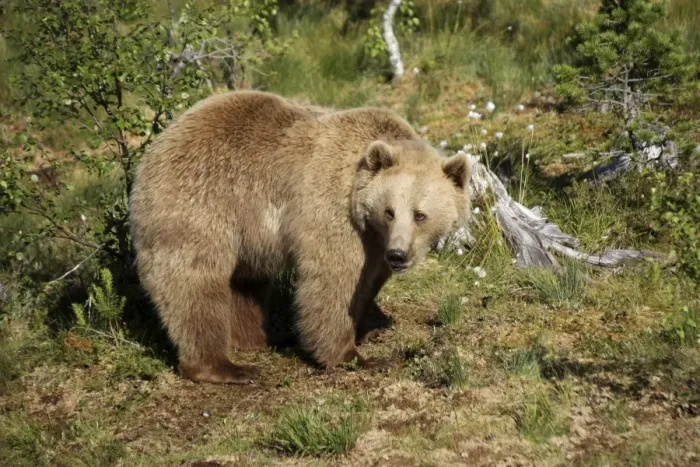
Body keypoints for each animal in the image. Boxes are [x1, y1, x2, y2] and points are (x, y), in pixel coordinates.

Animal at [129, 90, 471, 384]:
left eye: (419, 215)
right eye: (389, 211)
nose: (398, 255)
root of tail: (157, 145)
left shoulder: (373, 243)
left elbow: (366, 283)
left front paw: (368, 327)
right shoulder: (332, 213)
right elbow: (331, 281)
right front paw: (355, 356)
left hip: (247, 231)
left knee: (246, 284)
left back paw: (261, 339)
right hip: (201, 203)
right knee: (195, 283)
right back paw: (224, 366)